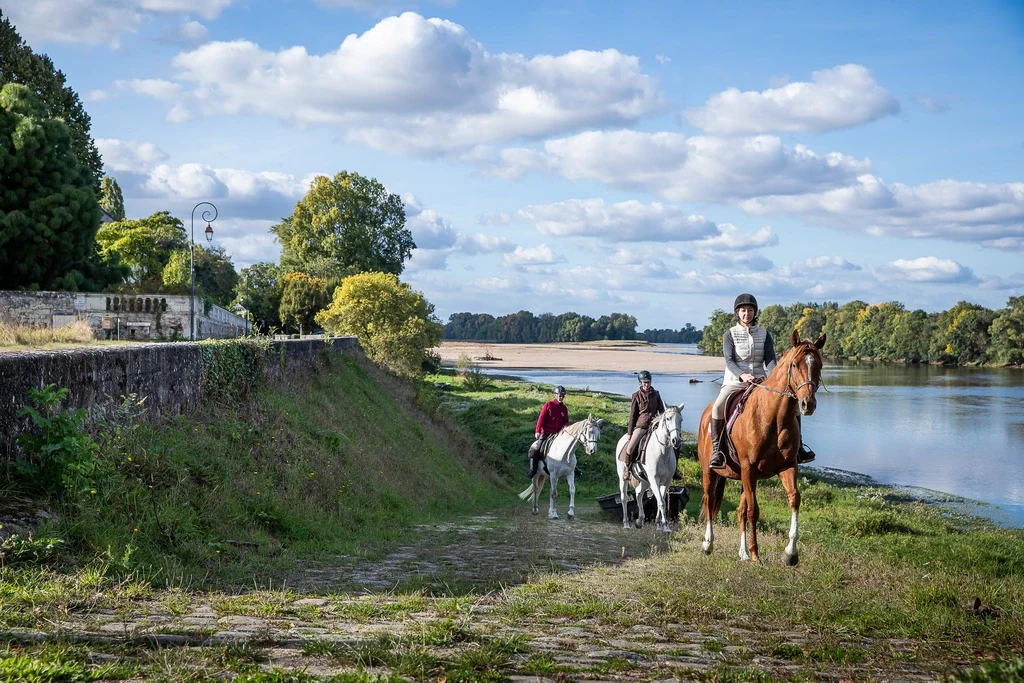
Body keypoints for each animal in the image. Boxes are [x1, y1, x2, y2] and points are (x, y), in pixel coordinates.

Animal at [696, 331, 823, 565]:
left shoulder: (787, 467)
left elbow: (794, 499)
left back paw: (743, 553)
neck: (773, 418)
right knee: (709, 501)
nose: (807, 404)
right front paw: (756, 554)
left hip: (743, 477)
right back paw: (708, 544)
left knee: (740, 510)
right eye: (794, 365)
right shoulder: (749, 468)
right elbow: (754, 511)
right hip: (710, 471)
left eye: (818, 364)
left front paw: (790, 554)